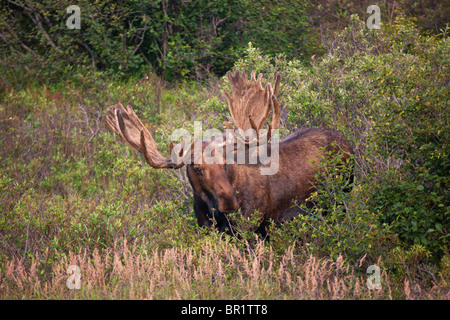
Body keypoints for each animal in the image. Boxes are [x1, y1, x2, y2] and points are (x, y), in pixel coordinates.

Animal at [106, 70, 356, 235]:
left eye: (226, 162)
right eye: (197, 167)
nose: (230, 202)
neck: (213, 212)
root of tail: (347, 142)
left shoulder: (253, 227)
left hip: (342, 195)